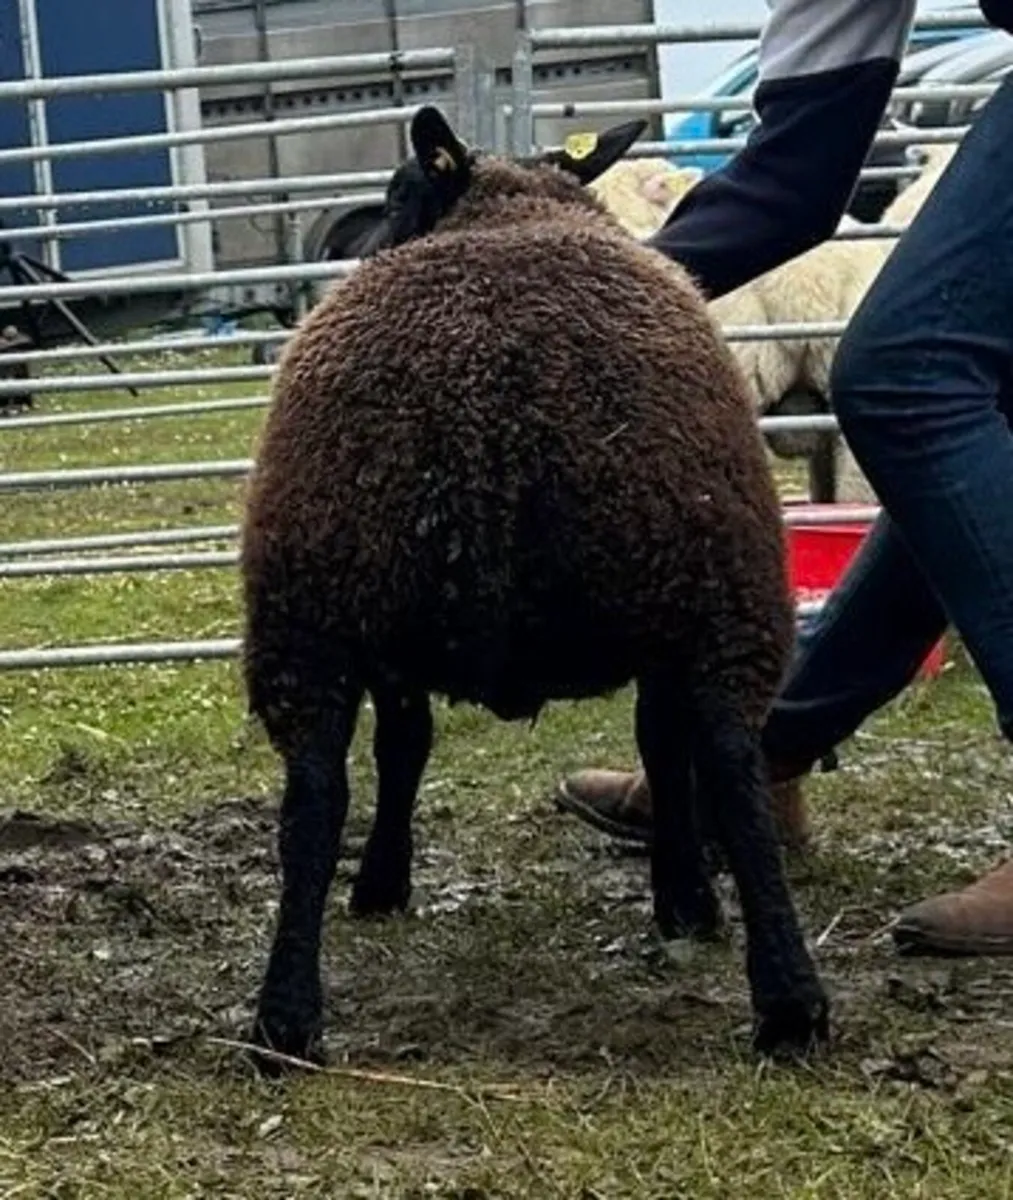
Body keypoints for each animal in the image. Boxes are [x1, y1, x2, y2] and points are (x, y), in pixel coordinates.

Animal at [240, 105, 830, 1070]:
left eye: (397, 196)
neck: (509, 208)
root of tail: (497, 416)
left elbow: (406, 746)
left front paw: (381, 882)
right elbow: (657, 744)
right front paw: (685, 898)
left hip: (317, 601)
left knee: (314, 796)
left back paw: (283, 1022)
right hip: (715, 590)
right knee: (734, 770)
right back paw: (788, 1005)